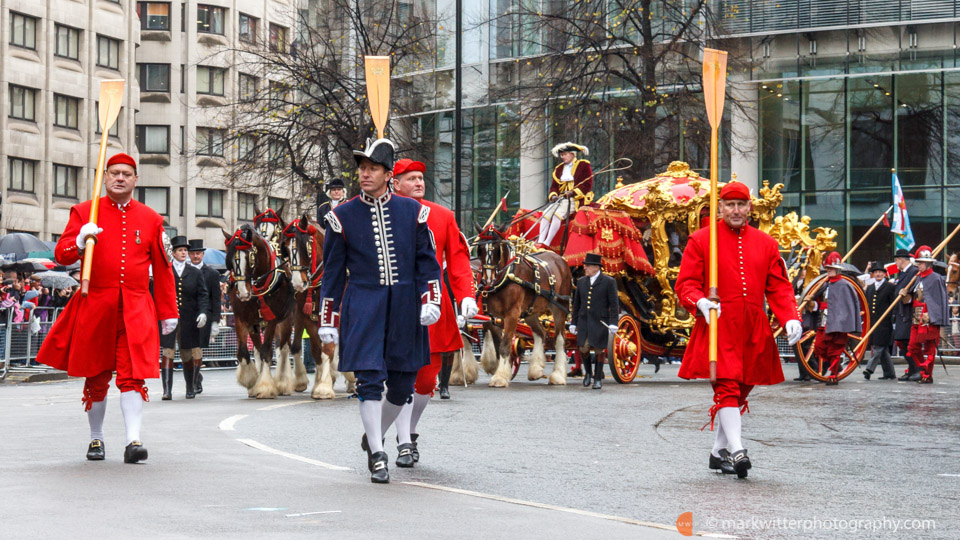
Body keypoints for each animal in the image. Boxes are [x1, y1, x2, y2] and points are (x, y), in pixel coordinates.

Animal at [225, 223, 300, 396]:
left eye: (250, 258)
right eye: (230, 260)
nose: (243, 293)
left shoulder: (272, 320)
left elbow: (267, 350)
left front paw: (265, 385)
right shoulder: (243, 319)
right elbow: (245, 351)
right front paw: (252, 380)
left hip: (287, 318)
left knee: (283, 348)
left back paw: (282, 382)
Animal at [282, 213, 356, 398]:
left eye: (306, 245)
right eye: (285, 247)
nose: (297, 283)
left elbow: (329, 349)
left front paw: (324, 387)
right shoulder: (308, 318)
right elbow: (317, 350)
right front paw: (322, 382)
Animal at [472, 221, 568, 386]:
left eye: (497, 248)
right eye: (480, 249)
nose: (487, 279)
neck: (505, 277)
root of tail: (560, 259)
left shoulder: (512, 314)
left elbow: (505, 344)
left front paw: (500, 377)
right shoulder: (492, 317)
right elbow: (498, 344)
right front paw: (499, 370)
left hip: (559, 307)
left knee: (559, 338)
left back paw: (558, 375)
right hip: (530, 310)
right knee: (540, 333)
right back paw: (536, 369)